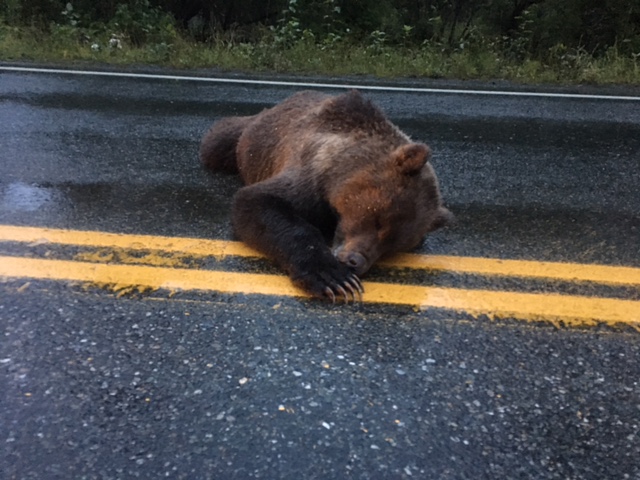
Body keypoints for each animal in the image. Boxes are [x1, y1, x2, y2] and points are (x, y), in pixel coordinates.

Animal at [199, 89, 450, 300]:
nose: (356, 261)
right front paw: (334, 278)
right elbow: (257, 202)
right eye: (378, 220)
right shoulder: (310, 176)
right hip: (242, 139)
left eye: (394, 246)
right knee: (218, 140)